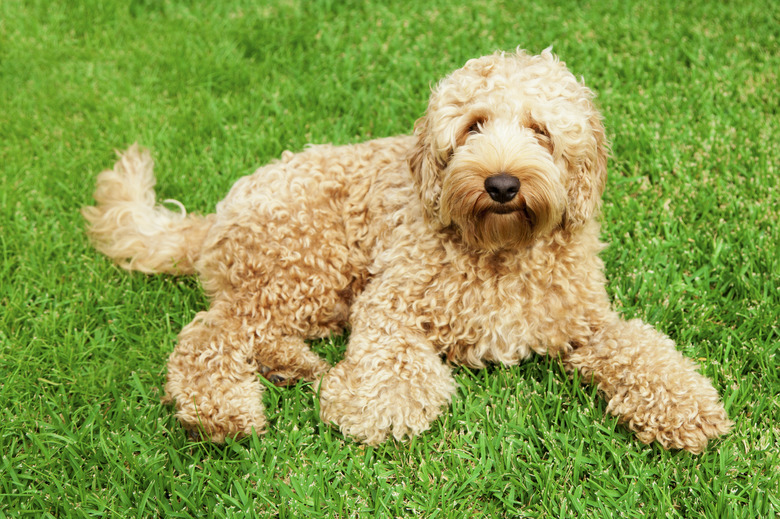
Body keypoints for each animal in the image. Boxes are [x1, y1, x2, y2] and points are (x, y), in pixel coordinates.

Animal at [84, 49, 732, 456]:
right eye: (473, 126)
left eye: (541, 130)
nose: (502, 184)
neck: (499, 250)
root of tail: (218, 214)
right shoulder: (391, 300)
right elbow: (392, 359)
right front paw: (379, 408)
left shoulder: (585, 322)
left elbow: (643, 350)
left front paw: (687, 409)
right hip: (305, 264)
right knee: (209, 335)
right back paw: (224, 413)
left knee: (249, 332)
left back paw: (293, 367)